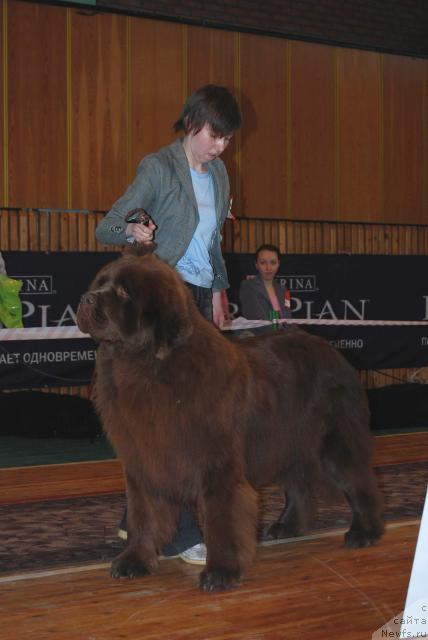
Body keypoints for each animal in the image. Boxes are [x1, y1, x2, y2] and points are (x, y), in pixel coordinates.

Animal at [77, 245, 384, 592]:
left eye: (122, 292)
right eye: (99, 284)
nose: (86, 299)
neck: (144, 366)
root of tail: (333, 352)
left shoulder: (216, 462)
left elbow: (221, 516)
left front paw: (220, 572)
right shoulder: (144, 458)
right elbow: (144, 513)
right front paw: (135, 561)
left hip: (333, 441)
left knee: (358, 481)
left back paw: (365, 532)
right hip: (288, 441)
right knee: (299, 485)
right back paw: (287, 526)